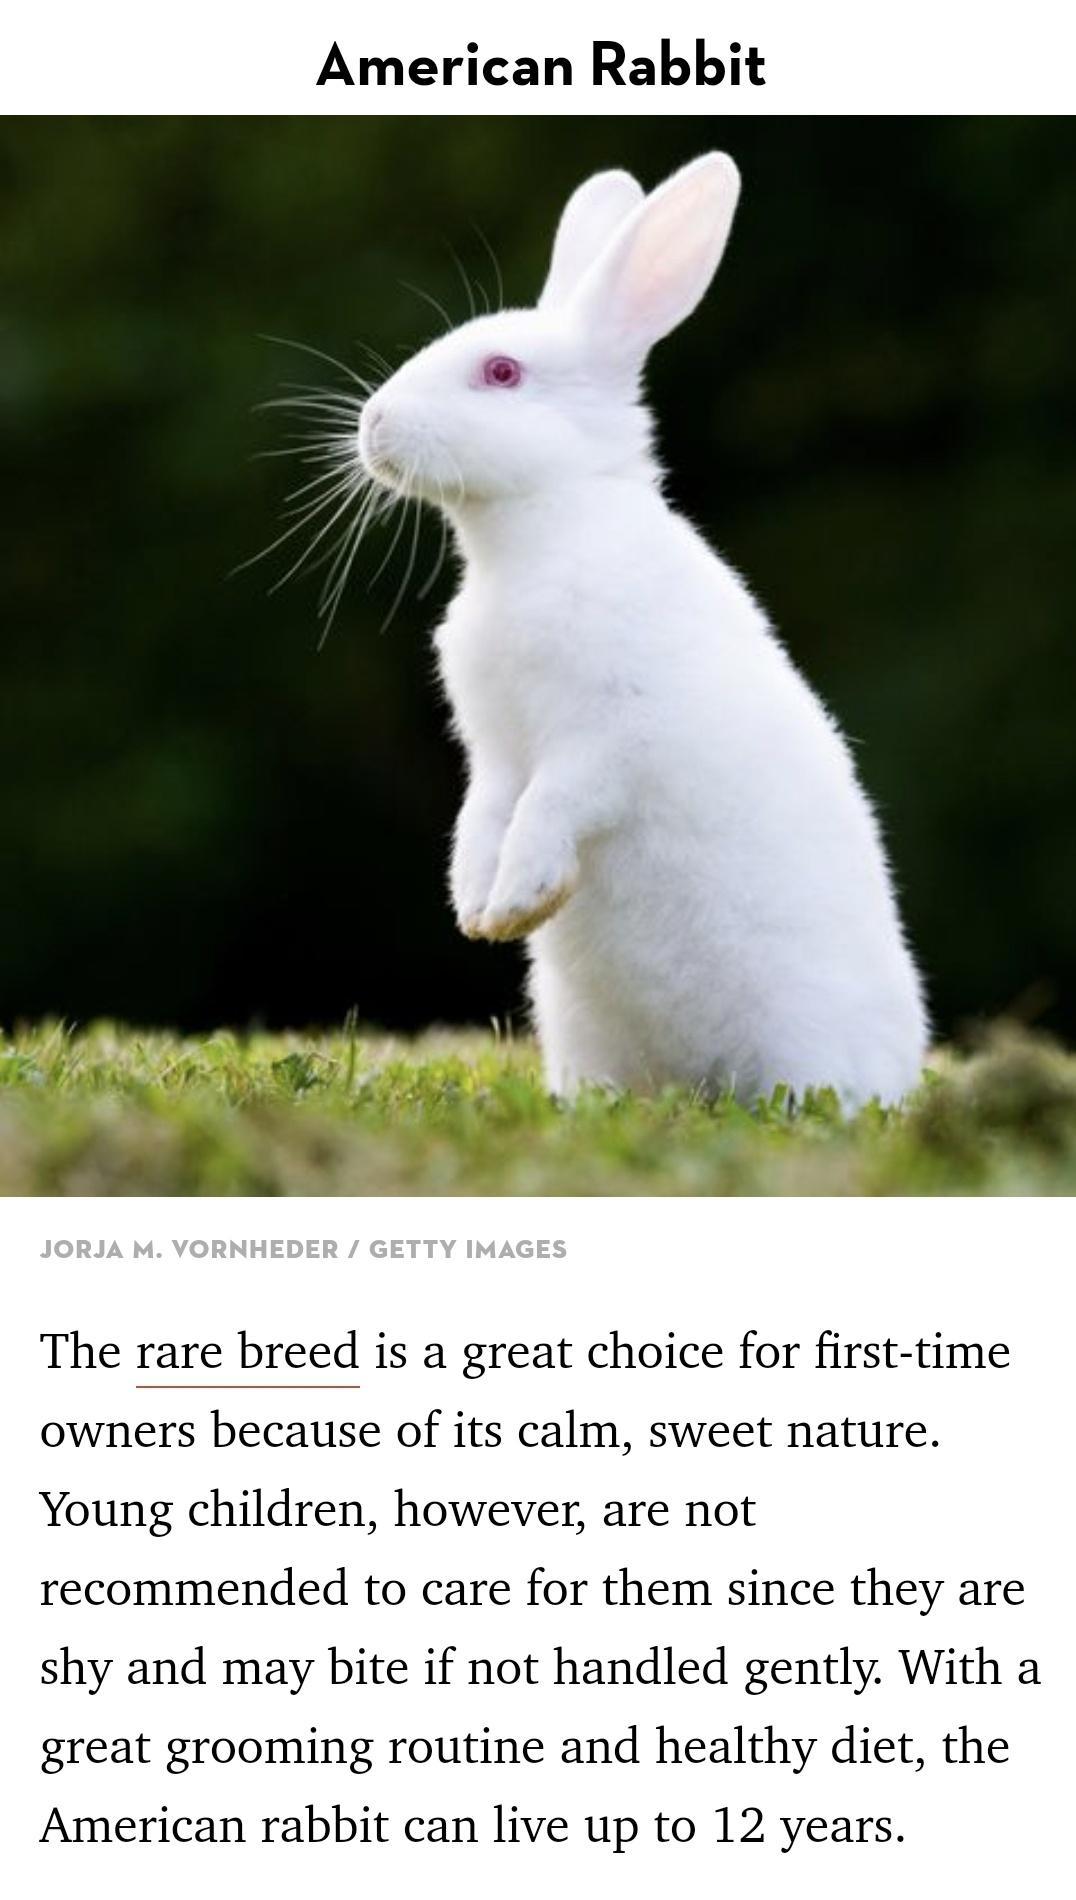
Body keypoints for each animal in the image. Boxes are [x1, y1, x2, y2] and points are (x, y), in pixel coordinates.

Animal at [359, 155, 931, 1109]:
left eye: (502, 372)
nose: (372, 426)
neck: (541, 537)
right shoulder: (495, 755)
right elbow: (483, 816)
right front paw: (476, 908)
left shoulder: (607, 739)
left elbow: (551, 806)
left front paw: (517, 900)